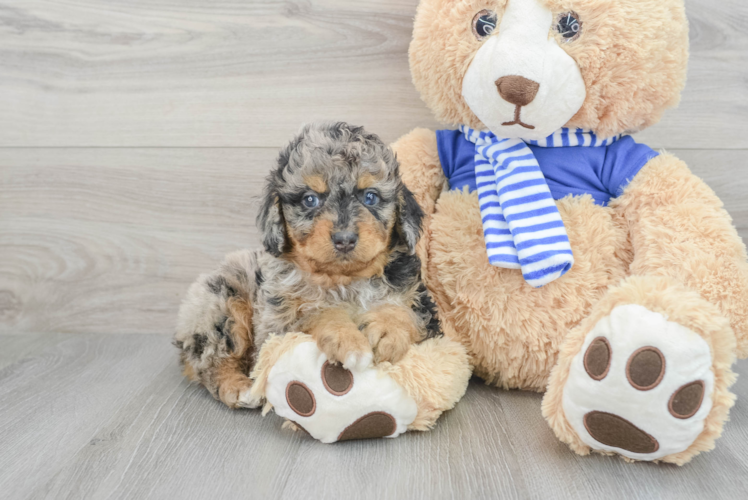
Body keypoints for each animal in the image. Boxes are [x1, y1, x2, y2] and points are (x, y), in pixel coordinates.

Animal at [174, 123, 444, 408]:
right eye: (310, 199)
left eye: (370, 197)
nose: (345, 239)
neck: (343, 280)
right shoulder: (276, 325)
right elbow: (317, 312)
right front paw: (348, 339)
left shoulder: (421, 303)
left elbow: (404, 311)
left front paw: (387, 330)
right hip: (221, 303)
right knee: (211, 361)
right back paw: (237, 387)